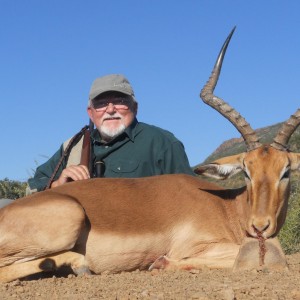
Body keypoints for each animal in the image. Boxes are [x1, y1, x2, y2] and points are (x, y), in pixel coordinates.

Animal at [0, 27, 298, 282]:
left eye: (285, 172)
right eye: (246, 171)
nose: (260, 227)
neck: (227, 208)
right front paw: (160, 263)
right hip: (69, 217)